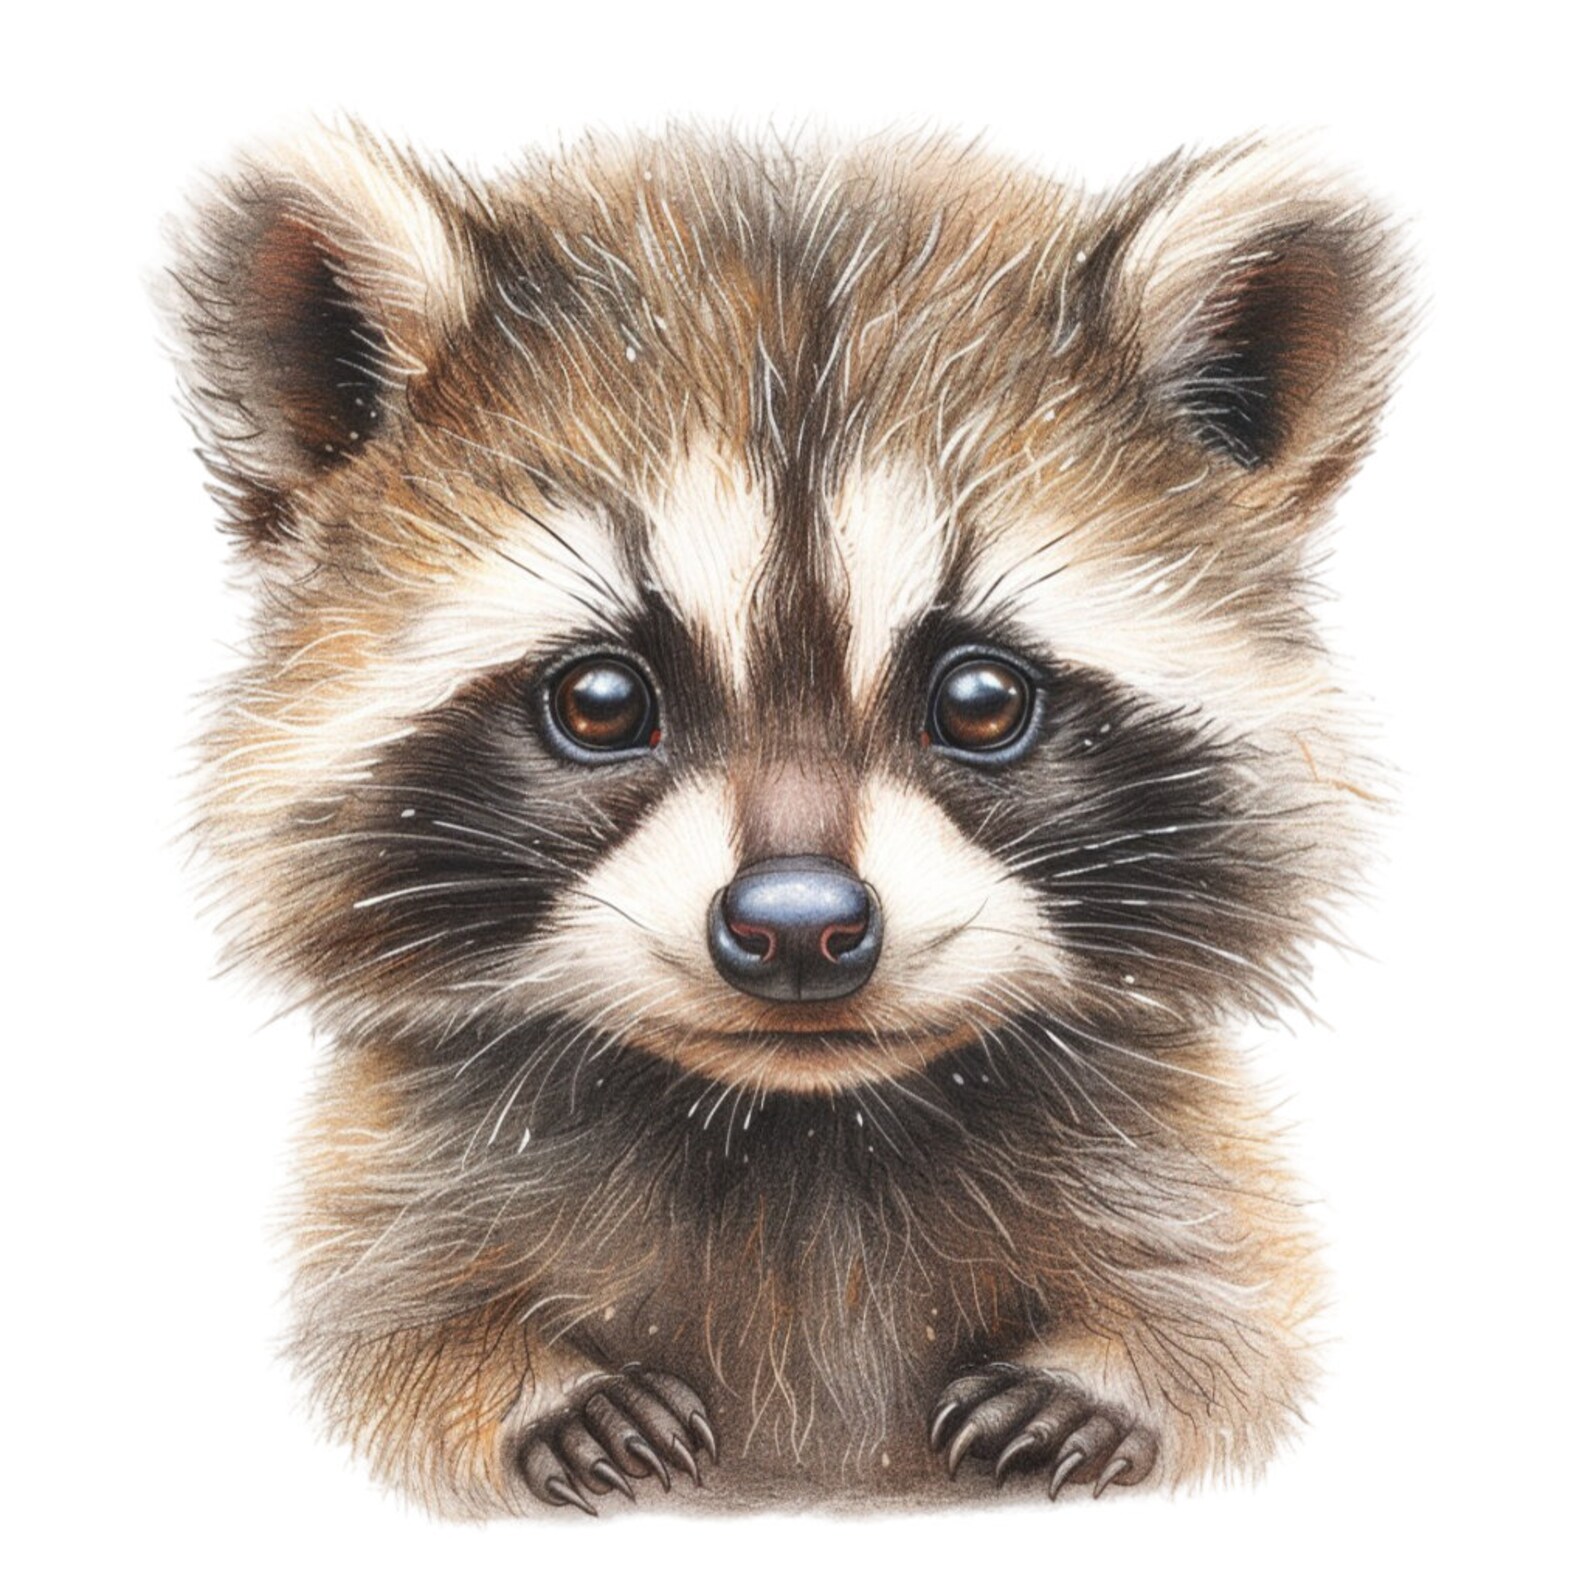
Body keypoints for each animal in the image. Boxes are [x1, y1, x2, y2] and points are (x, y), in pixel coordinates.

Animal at [164, 124, 1407, 1517]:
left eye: (979, 700)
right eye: (602, 701)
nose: (800, 925)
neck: (798, 1125)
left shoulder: (1184, 1172)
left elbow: (1237, 1322)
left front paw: (1126, 1371)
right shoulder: (399, 1186)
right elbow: (382, 1333)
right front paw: (512, 1382)